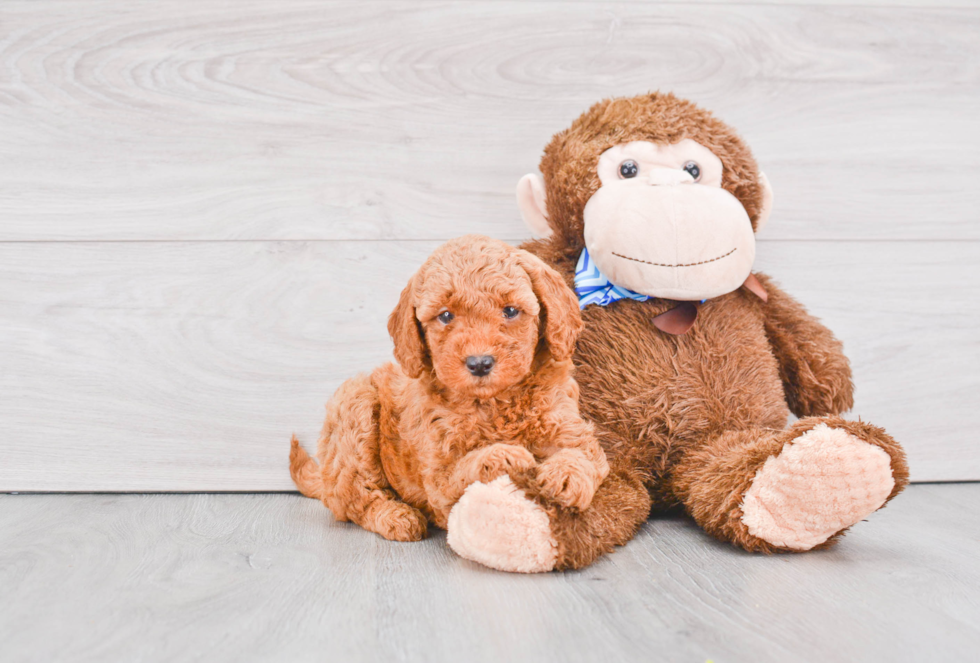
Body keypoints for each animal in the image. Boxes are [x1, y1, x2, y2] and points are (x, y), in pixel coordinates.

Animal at [288, 233, 604, 572]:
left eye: (510, 311)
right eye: (446, 316)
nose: (479, 363)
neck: (494, 403)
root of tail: (324, 476)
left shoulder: (567, 424)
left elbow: (584, 455)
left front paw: (565, 476)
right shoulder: (439, 477)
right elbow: (465, 467)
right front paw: (504, 455)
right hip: (354, 409)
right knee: (356, 501)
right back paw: (396, 516)